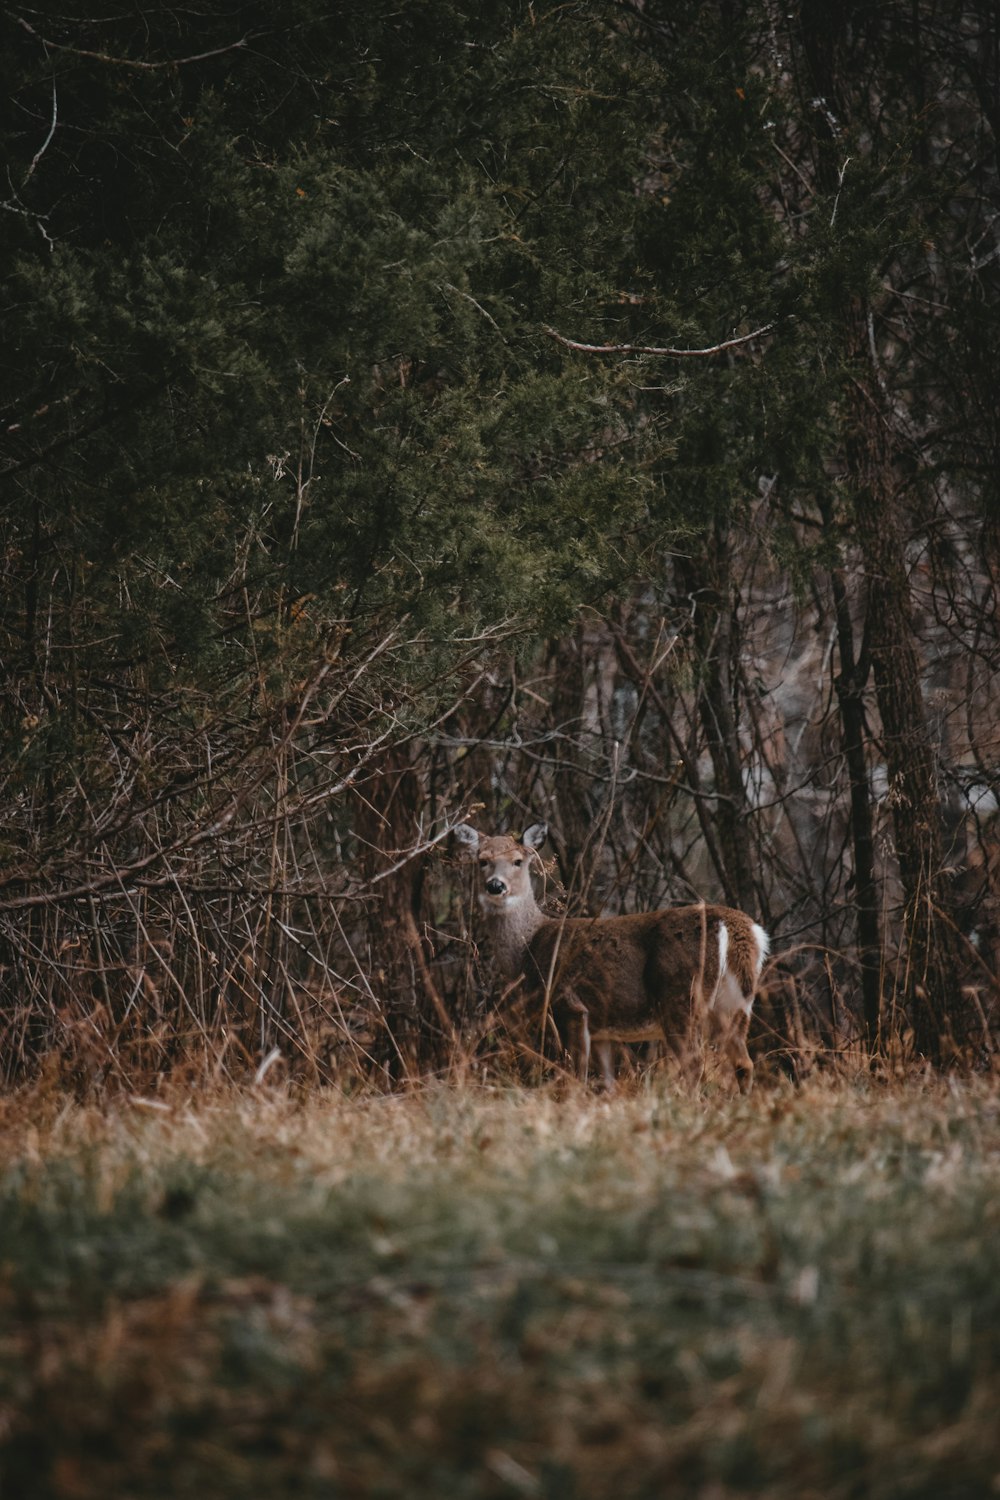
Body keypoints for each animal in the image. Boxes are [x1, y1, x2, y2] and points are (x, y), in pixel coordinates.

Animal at [458, 822, 773, 1092]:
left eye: (517, 861)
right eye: (482, 860)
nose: (495, 886)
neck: (529, 948)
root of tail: (741, 928)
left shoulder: (570, 1006)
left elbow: (576, 1077)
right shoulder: (603, 1030)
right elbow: (607, 1084)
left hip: (682, 996)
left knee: (695, 1065)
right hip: (736, 1004)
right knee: (744, 1063)